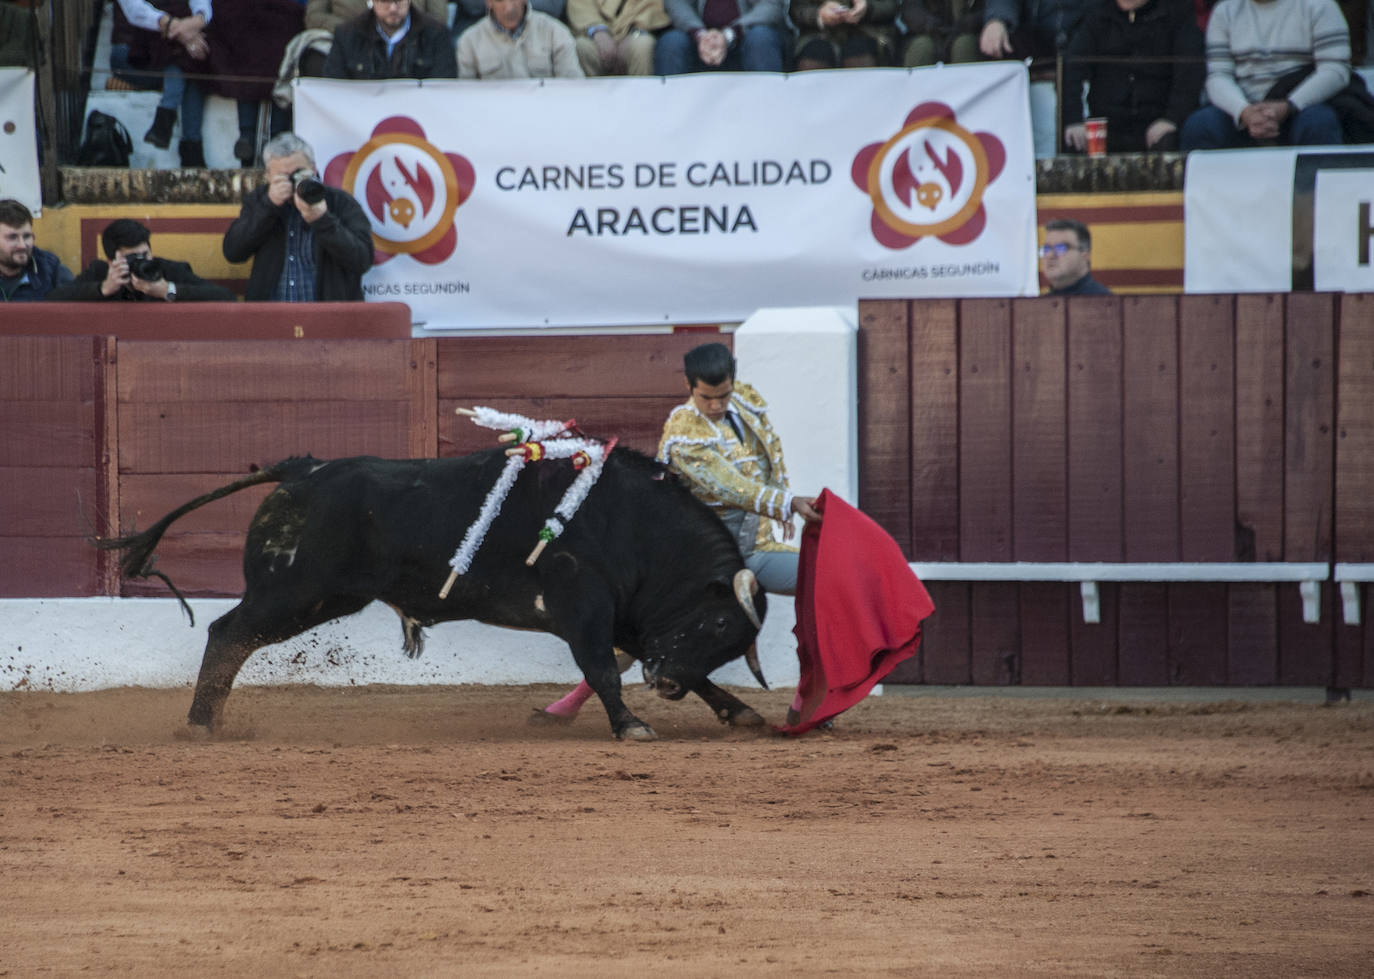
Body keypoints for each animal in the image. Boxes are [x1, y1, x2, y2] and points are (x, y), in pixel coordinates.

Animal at [99, 447, 774, 735]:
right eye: (719, 624)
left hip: (321, 599)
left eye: (731, 643)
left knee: (234, 638)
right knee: (227, 633)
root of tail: (304, 468)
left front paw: (739, 711)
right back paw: (200, 724)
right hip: (293, 592)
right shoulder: (584, 606)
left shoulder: (634, 619)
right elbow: (602, 668)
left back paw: (208, 719)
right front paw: (632, 725)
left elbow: (652, 664)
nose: (666, 686)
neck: (633, 524)